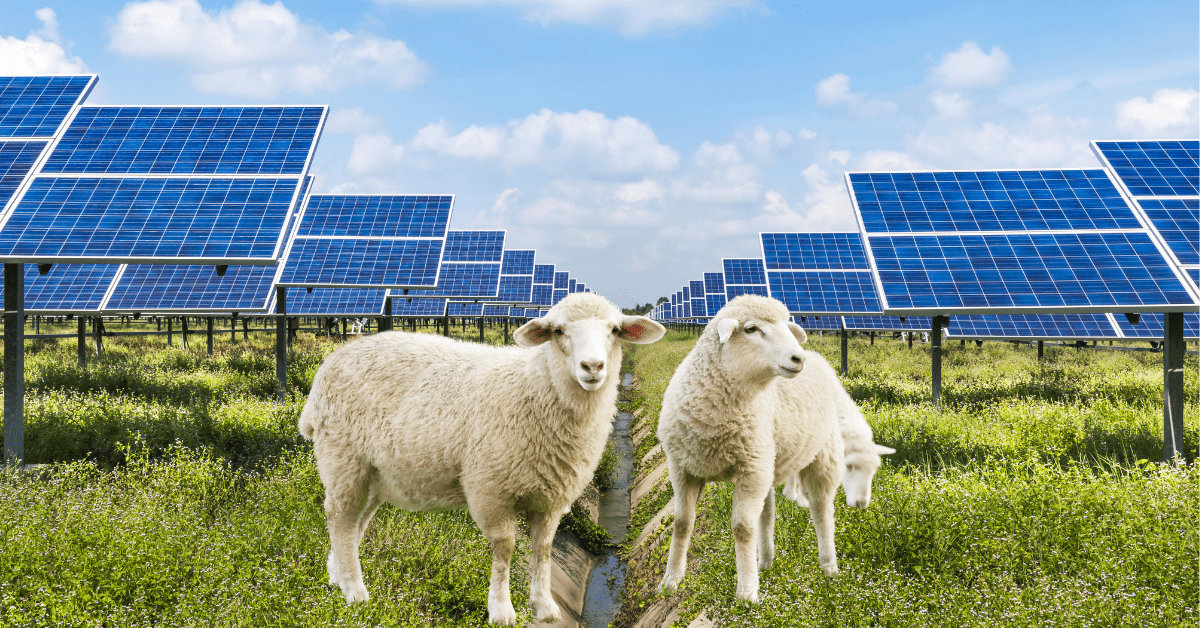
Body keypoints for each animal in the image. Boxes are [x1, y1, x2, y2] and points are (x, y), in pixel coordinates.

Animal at [298, 293, 665, 625]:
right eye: (559, 330)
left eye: (615, 329)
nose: (592, 367)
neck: (537, 387)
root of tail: (330, 364)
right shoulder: (491, 489)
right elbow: (505, 549)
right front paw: (501, 610)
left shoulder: (552, 496)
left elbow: (544, 548)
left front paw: (544, 606)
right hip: (342, 458)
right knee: (340, 517)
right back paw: (355, 592)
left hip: (374, 473)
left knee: (355, 523)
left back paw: (337, 575)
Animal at [657, 294, 844, 603]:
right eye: (751, 329)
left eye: (787, 325)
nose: (798, 358)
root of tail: (818, 357)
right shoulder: (683, 468)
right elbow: (682, 523)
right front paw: (671, 579)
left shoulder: (750, 470)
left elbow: (743, 529)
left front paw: (746, 592)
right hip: (766, 461)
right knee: (767, 513)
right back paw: (764, 562)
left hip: (820, 456)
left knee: (822, 509)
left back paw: (829, 566)